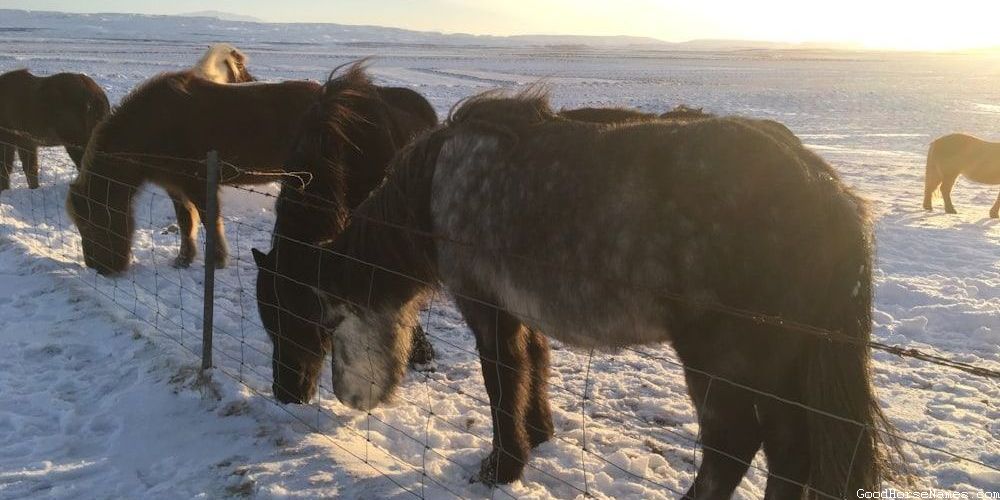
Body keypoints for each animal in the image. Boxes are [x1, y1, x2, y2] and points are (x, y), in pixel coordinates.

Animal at [66, 71, 321, 275]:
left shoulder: (199, 183)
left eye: (88, 224)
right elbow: (186, 221)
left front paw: (217, 260)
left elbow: (209, 219)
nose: (98, 267)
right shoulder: (175, 187)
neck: (154, 127)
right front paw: (183, 259)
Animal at [308, 90, 896, 497]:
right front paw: (539, 435)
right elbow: (534, 365)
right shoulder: (521, 306)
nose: (345, 400)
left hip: (722, 358)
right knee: (791, 455)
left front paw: (500, 466)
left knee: (732, 451)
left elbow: (502, 382)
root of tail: (824, 187)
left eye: (332, 322)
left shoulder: (487, 309)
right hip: (779, 371)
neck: (437, 187)